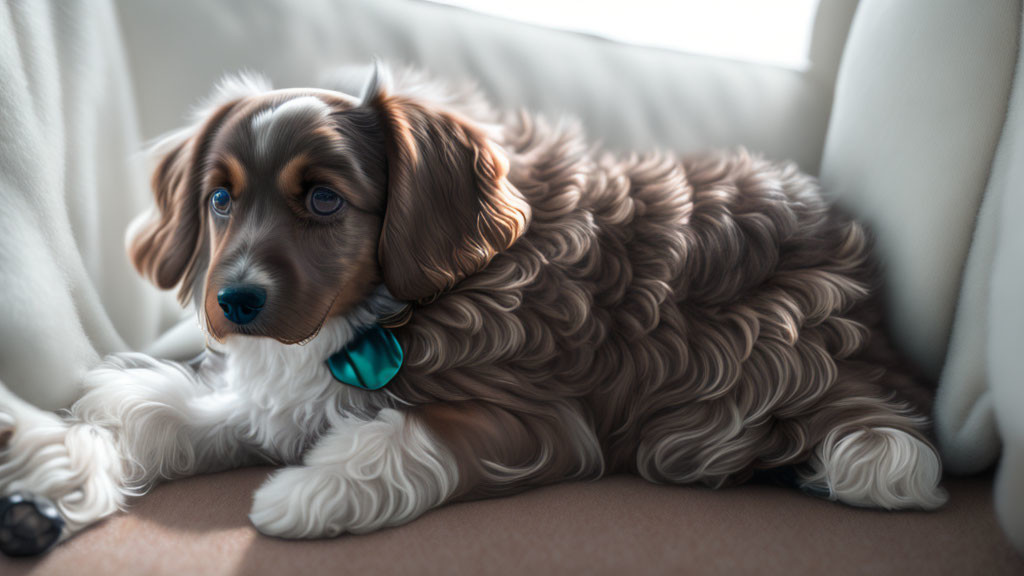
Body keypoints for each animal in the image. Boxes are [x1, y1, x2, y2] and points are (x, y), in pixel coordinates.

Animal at [0, 63, 942, 541]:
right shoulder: (289, 389)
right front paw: (96, 435)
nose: (233, 299)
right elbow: (186, 413)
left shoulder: (539, 422)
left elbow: (403, 439)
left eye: (325, 200)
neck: (382, 310)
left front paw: (301, 496)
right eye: (220, 199)